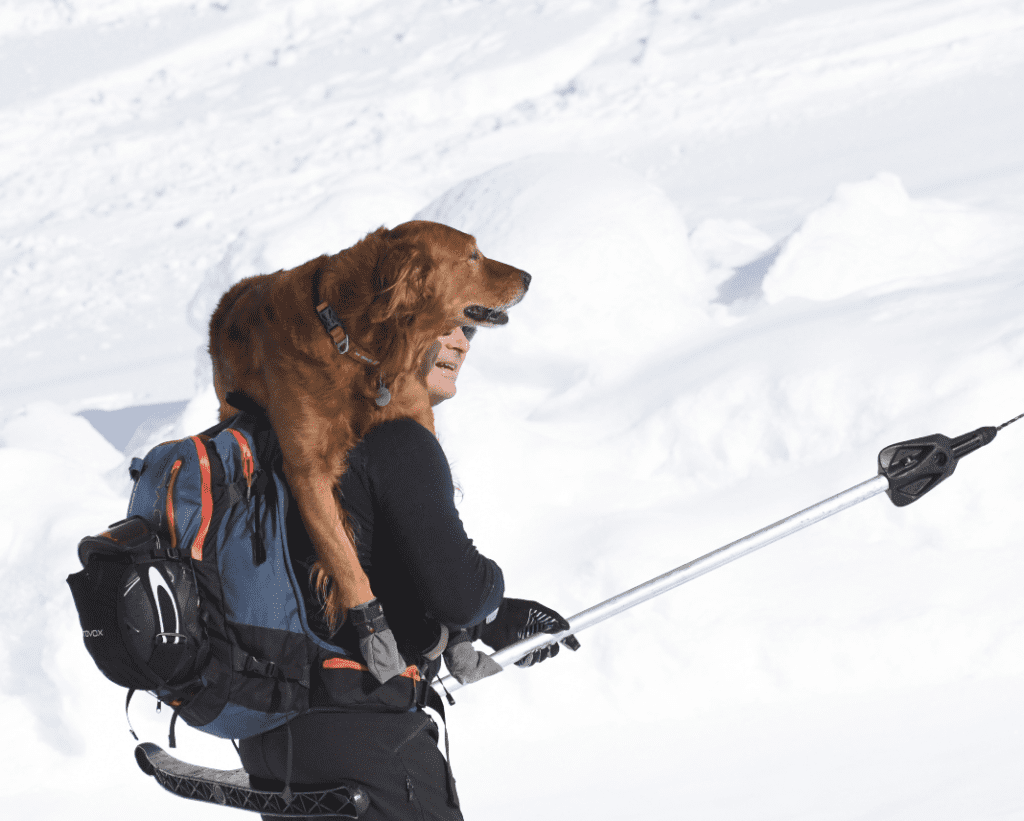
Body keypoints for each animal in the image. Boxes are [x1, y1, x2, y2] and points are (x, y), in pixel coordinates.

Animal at [206, 221, 528, 679]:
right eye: (472, 256)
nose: (528, 277)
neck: (358, 345)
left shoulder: (415, 414)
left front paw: (458, 640)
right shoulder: (307, 469)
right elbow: (344, 560)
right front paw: (376, 635)